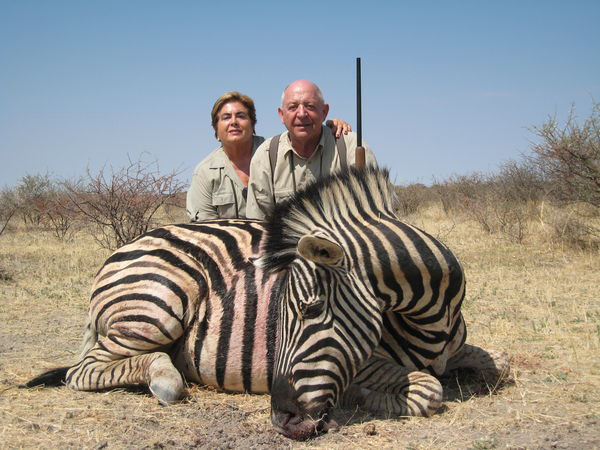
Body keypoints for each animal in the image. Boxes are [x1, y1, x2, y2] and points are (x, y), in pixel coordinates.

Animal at [25, 166, 509, 440]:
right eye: (283, 310)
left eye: (311, 310)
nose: (282, 422)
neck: (433, 319)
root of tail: (125, 249)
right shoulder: (364, 361)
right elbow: (428, 390)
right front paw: (364, 396)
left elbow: (498, 363)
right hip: (156, 307)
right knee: (84, 370)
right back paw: (163, 376)